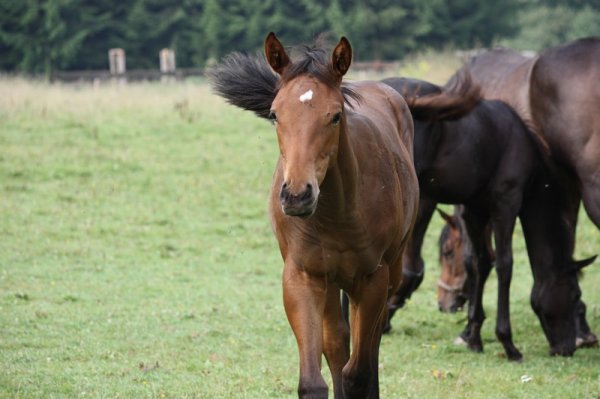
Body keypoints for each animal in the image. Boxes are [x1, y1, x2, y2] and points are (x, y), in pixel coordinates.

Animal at [206, 32, 418, 399]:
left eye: (335, 116)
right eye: (275, 114)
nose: (297, 195)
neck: (337, 215)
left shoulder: (372, 279)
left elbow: (359, 372)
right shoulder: (302, 277)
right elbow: (313, 380)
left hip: (387, 271)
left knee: (369, 346)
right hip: (330, 282)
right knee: (336, 342)